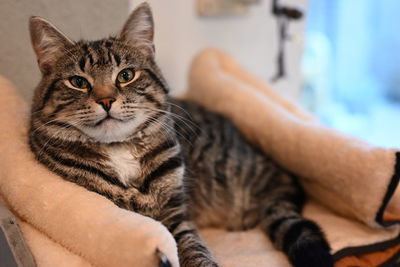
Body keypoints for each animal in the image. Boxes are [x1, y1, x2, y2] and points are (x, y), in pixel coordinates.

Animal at [28, 2, 334, 267]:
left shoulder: (176, 216)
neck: (120, 149)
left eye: (126, 75)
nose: (106, 100)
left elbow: (193, 247)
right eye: (78, 82)